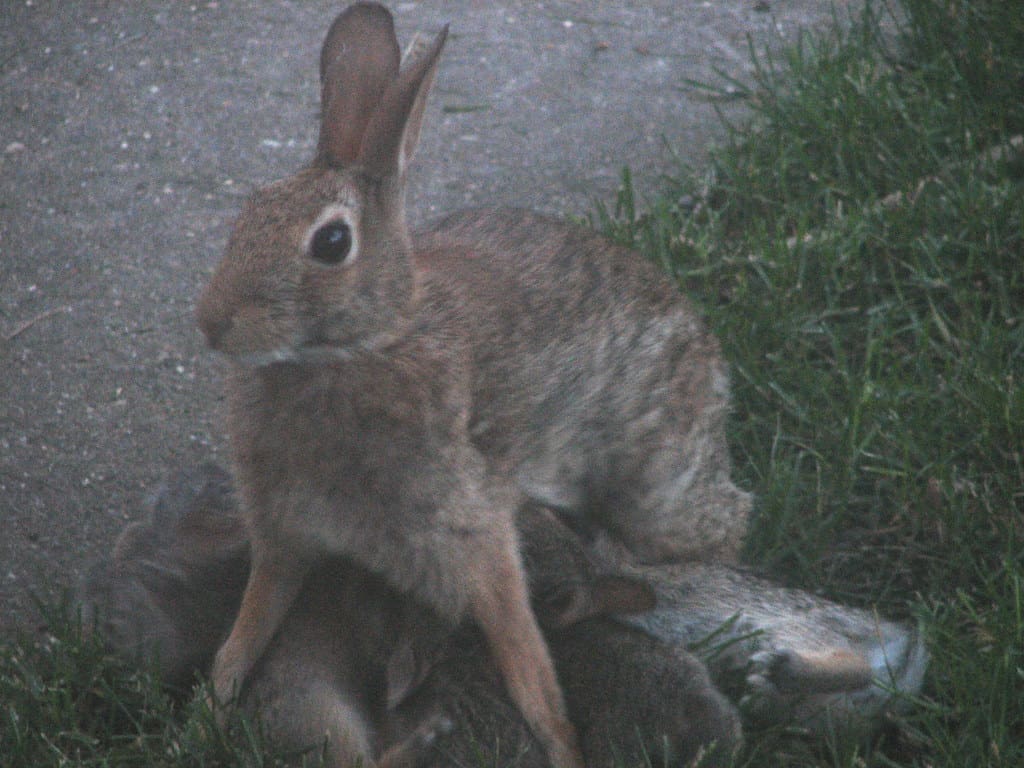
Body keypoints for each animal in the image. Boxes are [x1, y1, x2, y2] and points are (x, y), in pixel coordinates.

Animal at [194, 5, 750, 766]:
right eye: (249, 210)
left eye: (332, 244)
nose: (211, 322)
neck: (366, 346)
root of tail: (706, 351)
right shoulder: (285, 535)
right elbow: (250, 627)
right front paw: (212, 706)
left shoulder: (476, 536)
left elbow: (526, 660)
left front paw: (562, 746)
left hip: (658, 484)